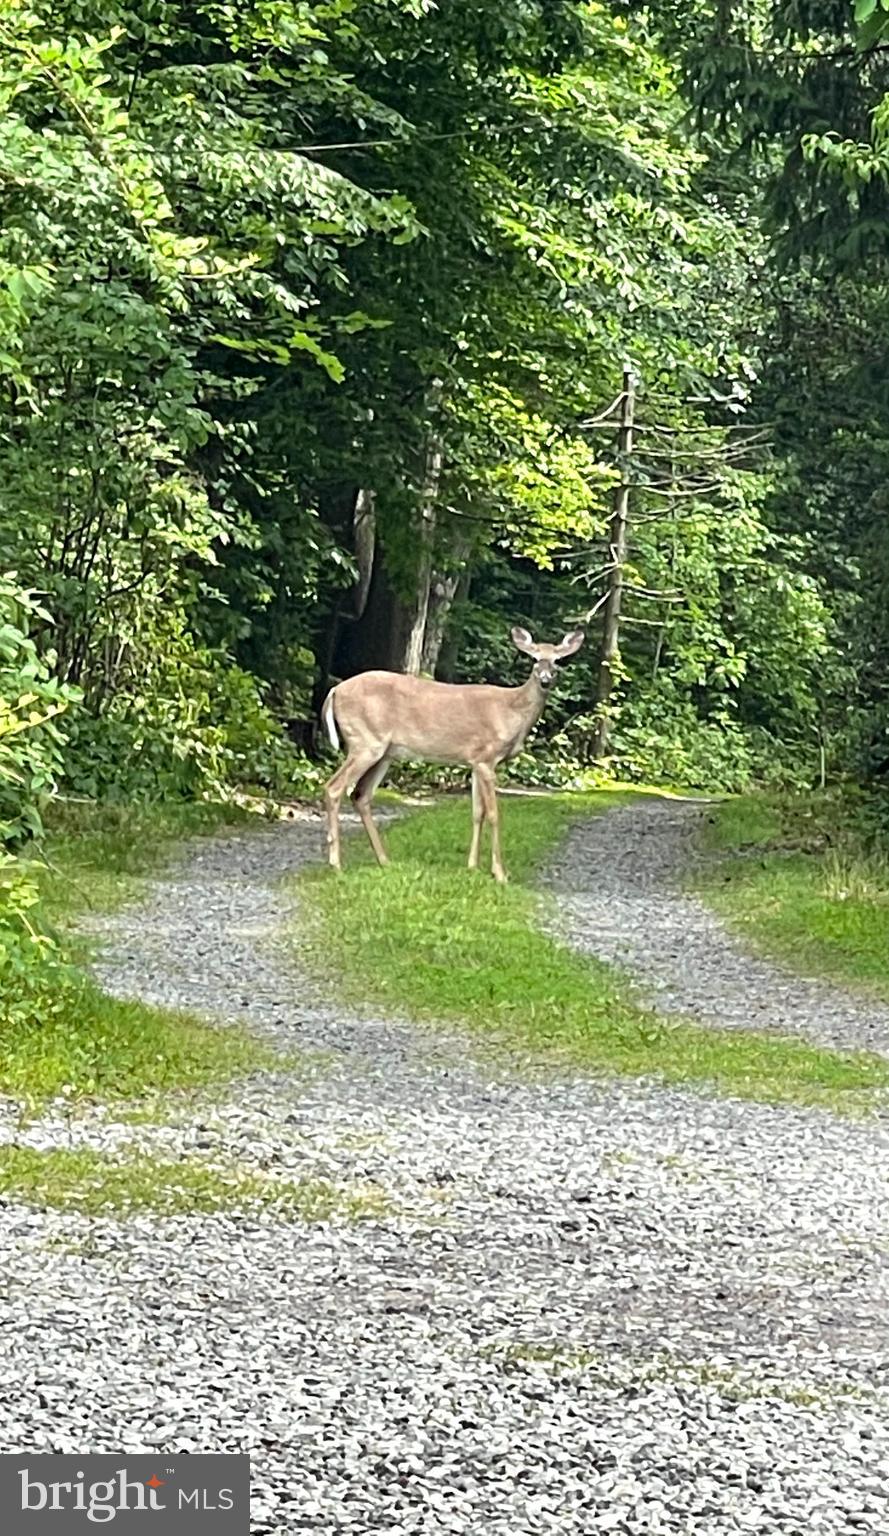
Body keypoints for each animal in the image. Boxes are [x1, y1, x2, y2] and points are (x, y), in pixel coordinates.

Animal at [320, 625, 585, 883]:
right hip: (365, 741)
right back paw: (336, 865)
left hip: (384, 752)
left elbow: (477, 813)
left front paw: (472, 867)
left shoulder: (476, 761)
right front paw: (499, 873)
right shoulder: (487, 757)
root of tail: (335, 690)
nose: (545, 679)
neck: (513, 711)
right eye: (534, 658)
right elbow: (493, 814)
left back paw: (384, 861)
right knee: (334, 787)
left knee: (360, 795)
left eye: (558, 660)